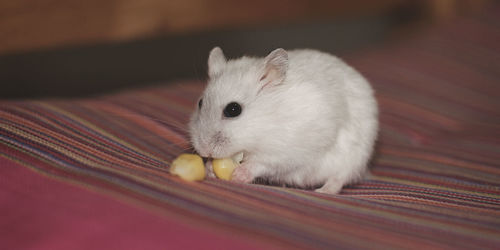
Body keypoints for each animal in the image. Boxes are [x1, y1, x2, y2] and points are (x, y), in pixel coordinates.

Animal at [189, 47, 376, 195]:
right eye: (200, 103)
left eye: (233, 109)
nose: (205, 151)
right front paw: (209, 168)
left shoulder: (285, 151)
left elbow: (262, 163)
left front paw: (239, 175)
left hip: (353, 158)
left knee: (338, 179)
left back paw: (323, 191)